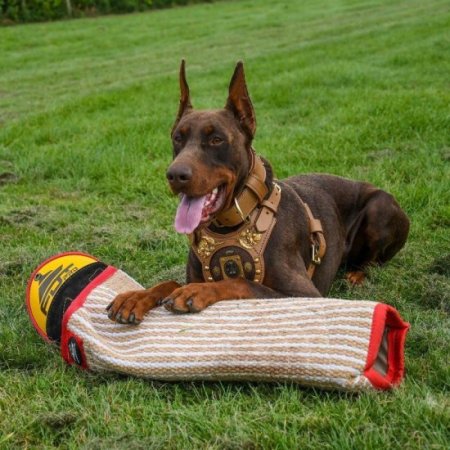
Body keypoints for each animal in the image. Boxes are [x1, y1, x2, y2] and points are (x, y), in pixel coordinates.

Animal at [107, 61, 410, 326]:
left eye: (216, 139)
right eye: (177, 138)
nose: (175, 175)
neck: (233, 222)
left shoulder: (304, 294)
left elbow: (241, 282)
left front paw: (195, 292)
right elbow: (168, 282)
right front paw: (137, 297)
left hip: (380, 207)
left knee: (373, 261)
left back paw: (358, 274)